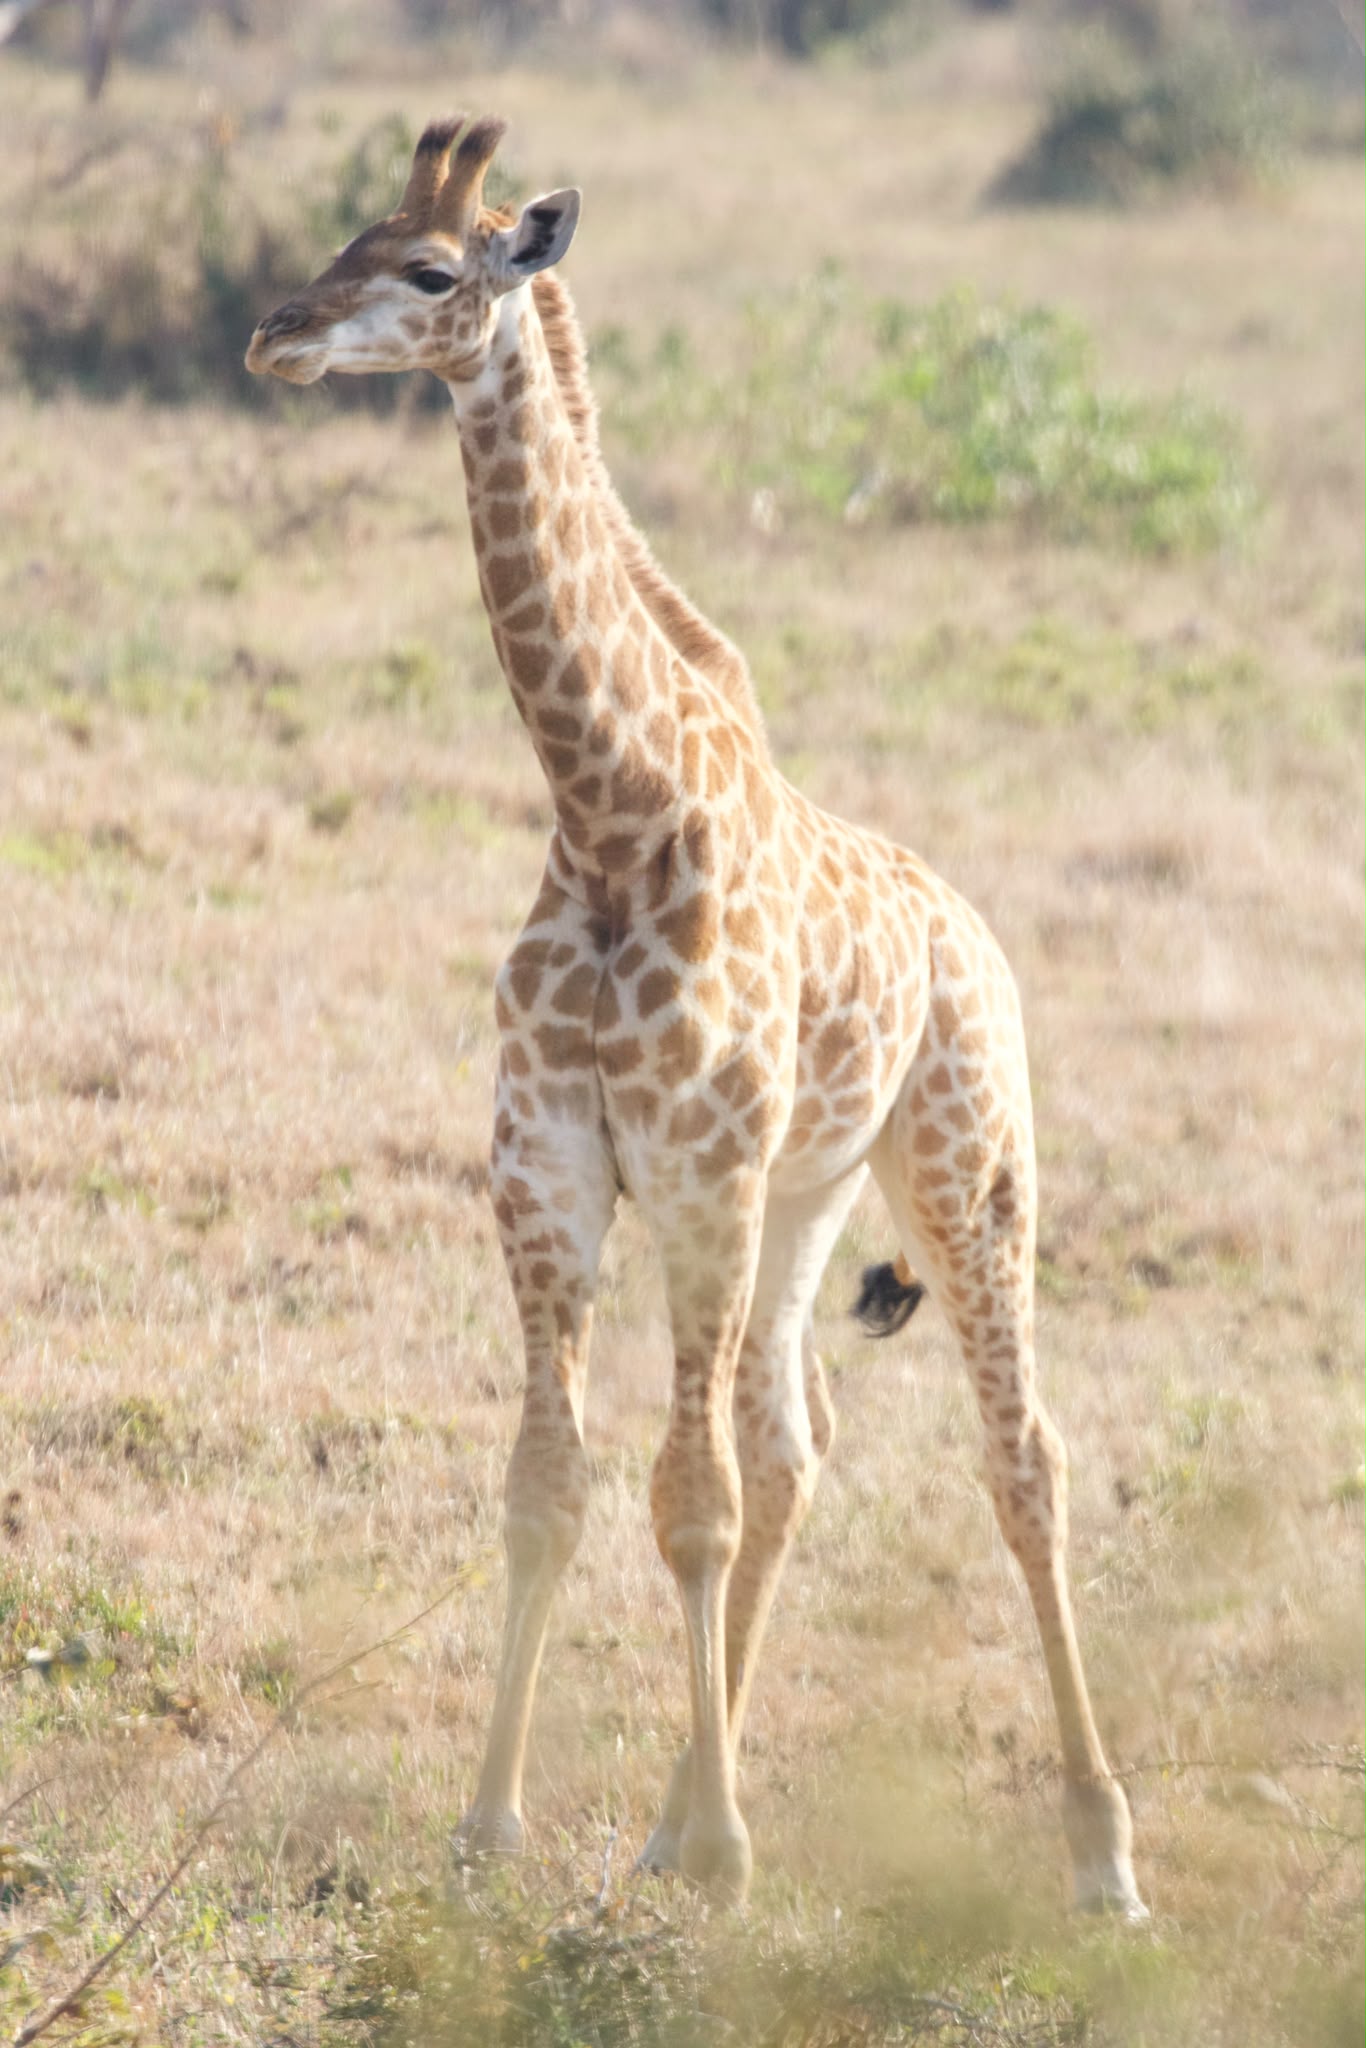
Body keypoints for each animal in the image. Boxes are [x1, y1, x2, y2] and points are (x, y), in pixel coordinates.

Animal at [246, 113, 1147, 1919]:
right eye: (343, 238)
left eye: (429, 269)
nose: (274, 337)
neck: (610, 810)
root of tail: (976, 937)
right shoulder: (548, 1168)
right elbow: (551, 1486)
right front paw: (494, 1827)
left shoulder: (698, 1174)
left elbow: (690, 1499)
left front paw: (728, 1854)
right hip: (808, 1198)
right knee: (799, 1445)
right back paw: (670, 1813)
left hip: (963, 1169)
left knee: (1020, 1456)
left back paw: (1097, 1852)